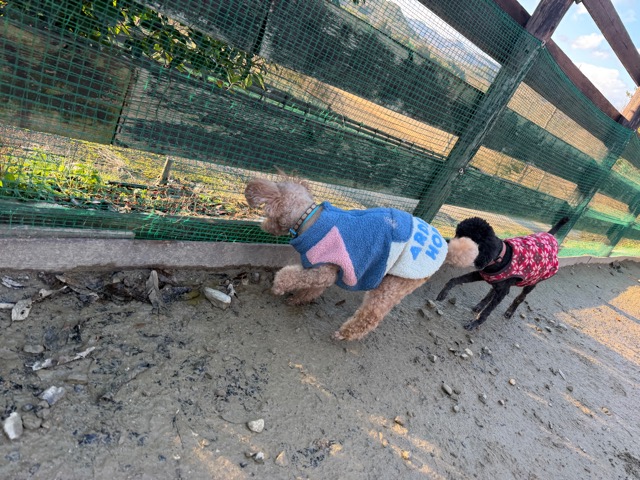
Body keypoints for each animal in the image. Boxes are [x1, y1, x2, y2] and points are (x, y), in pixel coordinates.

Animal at [244, 176, 477, 341]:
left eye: (268, 213)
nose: (262, 225)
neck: (310, 218)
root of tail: (445, 249)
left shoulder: (326, 268)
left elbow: (291, 275)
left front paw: (278, 287)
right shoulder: (326, 269)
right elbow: (312, 288)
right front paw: (298, 299)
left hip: (399, 281)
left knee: (372, 315)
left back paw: (344, 334)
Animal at [436, 216, 569, 330]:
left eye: (463, 239)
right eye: (456, 233)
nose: (446, 241)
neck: (501, 257)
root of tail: (550, 235)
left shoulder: (503, 292)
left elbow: (487, 312)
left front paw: (474, 324)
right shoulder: (481, 274)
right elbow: (455, 280)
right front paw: (443, 292)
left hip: (532, 281)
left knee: (520, 298)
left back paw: (509, 312)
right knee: (492, 290)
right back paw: (480, 305)